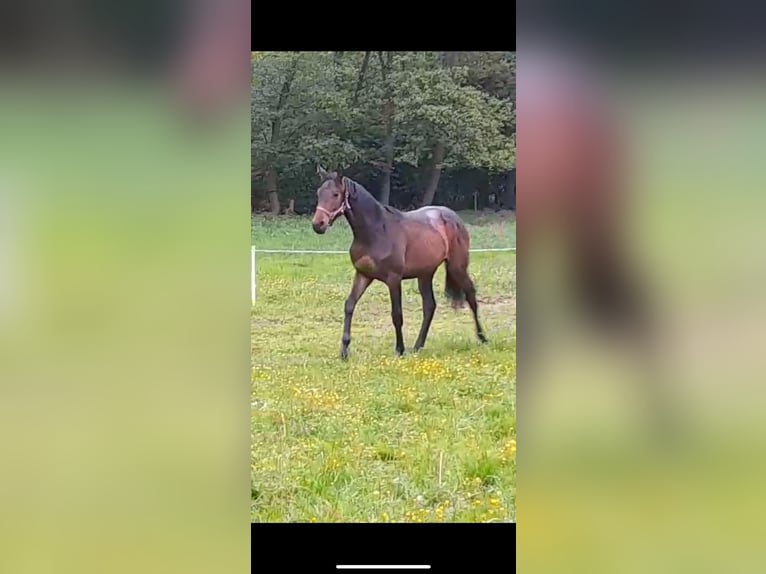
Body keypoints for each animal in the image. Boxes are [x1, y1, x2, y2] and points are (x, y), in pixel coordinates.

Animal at [310, 164, 486, 360]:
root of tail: (453, 217)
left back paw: (482, 338)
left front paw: (400, 350)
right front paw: (344, 351)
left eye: (335, 194)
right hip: (425, 274)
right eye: (319, 193)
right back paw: (418, 345)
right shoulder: (363, 275)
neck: (376, 232)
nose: (318, 224)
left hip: (457, 267)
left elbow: (397, 314)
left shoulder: (393, 279)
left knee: (470, 295)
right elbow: (349, 306)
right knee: (429, 306)